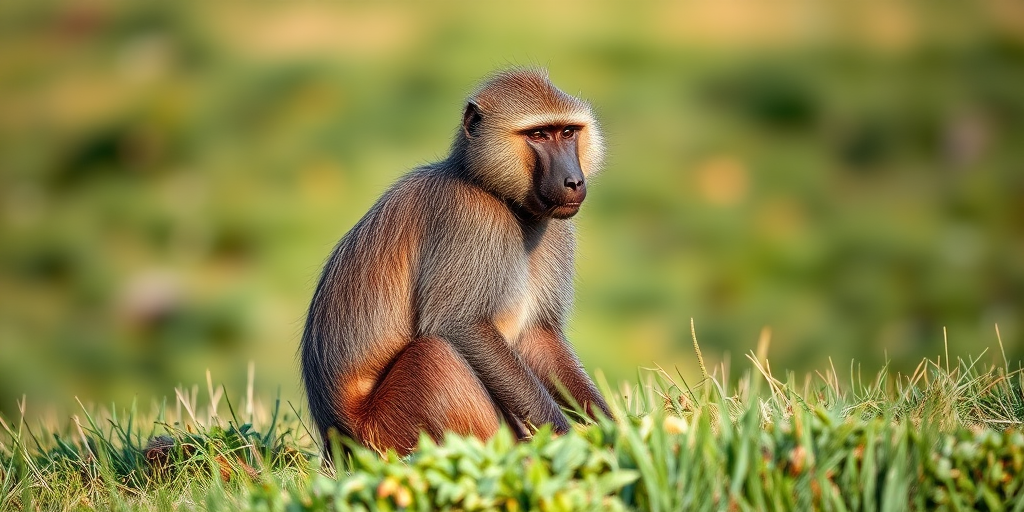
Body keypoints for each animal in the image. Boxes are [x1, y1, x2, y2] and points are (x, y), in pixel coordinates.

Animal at [300, 68, 612, 456]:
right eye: (538, 135)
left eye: (567, 132)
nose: (573, 182)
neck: (497, 195)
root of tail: (337, 444)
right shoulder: (469, 217)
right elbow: (459, 325)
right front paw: (575, 445)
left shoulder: (555, 227)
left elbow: (537, 338)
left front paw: (617, 430)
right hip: (385, 433)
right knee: (436, 355)